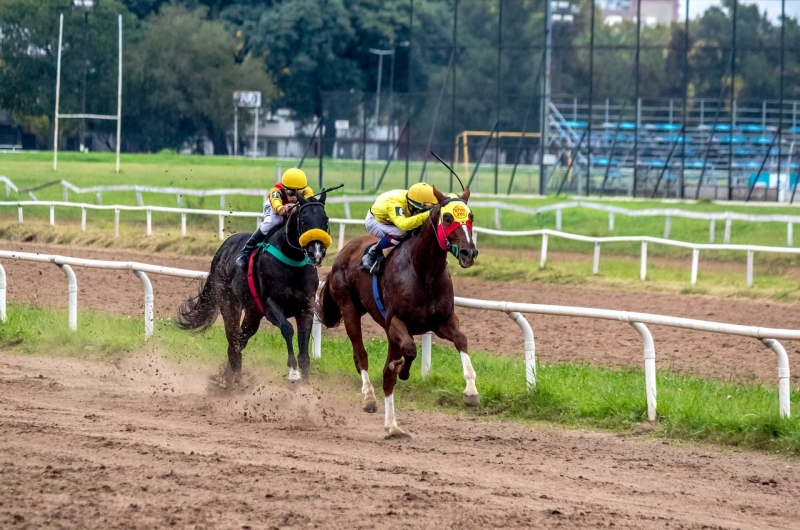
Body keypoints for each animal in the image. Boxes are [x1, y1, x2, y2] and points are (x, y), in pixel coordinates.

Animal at [177, 192, 332, 382]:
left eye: (325, 220)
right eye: (303, 220)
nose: (316, 253)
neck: (292, 262)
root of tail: (222, 249)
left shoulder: (305, 307)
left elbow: (304, 348)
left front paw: (305, 381)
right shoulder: (270, 305)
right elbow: (287, 329)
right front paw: (293, 371)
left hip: (253, 312)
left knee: (240, 340)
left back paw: (229, 375)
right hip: (229, 302)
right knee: (234, 340)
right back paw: (234, 378)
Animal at [316, 184, 478, 436]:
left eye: (470, 217)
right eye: (448, 218)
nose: (468, 253)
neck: (423, 271)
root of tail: (344, 251)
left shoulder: (443, 321)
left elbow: (461, 340)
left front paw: (471, 391)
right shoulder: (395, 322)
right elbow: (409, 350)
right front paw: (403, 370)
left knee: (386, 377)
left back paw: (392, 427)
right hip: (350, 308)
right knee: (361, 356)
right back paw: (369, 397)